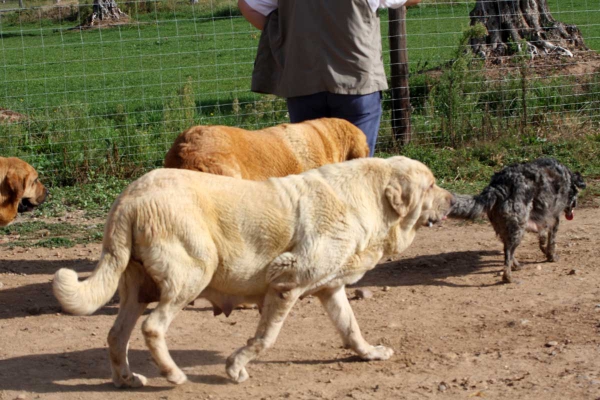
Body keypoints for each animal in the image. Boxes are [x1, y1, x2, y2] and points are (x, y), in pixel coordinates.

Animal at [54, 156, 452, 388]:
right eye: (431, 185)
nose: (453, 201)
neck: (367, 199)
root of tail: (130, 198)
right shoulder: (286, 284)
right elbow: (265, 338)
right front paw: (235, 367)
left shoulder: (331, 290)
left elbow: (350, 327)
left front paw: (369, 353)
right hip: (193, 274)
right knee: (152, 328)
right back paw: (174, 375)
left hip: (137, 290)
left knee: (116, 335)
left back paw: (126, 379)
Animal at [452, 158, 584, 282]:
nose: (575, 204)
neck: (567, 177)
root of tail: (497, 186)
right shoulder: (554, 218)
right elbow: (551, 242)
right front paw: (552, 256)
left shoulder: (543, 219)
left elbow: (542, 239)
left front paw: (545, 251)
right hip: (519, 227)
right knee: (508, 254)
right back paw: (508, 278)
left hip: (507, 228)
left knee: (508, 251)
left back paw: (515, 266)